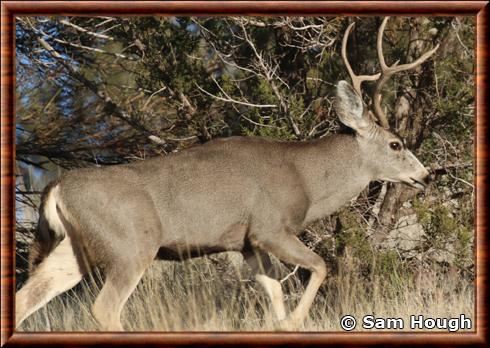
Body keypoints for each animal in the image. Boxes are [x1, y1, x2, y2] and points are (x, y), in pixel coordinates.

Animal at [15, 17, 436, 330]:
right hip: (130, 245)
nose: (426, 175)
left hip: (75, 247)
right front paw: (293, 323)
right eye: (396, 144)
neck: (306, 178)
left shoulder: (245, 243)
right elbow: (320, 266)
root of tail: (56, 187)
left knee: (25, 298)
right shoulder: (270, 227)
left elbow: (276, 294)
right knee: (104, 309)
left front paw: (279, 324)